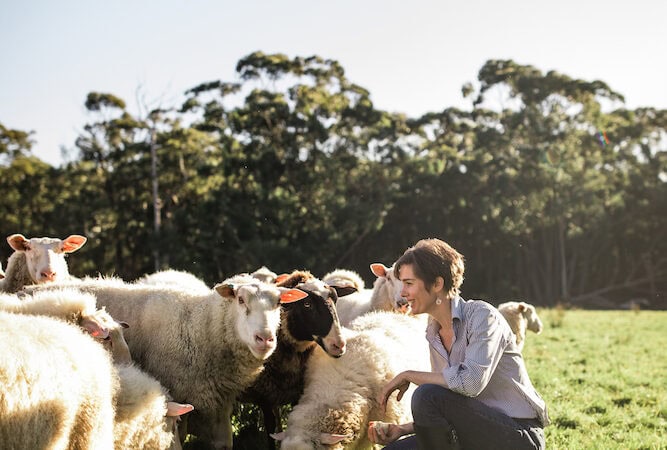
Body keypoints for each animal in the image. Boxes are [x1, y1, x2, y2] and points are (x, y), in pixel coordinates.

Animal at [23, 274, 310, 450]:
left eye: (279, 303)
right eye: (240, 300)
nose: (265, 339)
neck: (200, 327)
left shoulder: (220, 402)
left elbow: (224, 443)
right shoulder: (177, 399)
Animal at [239, 268, 350, 442]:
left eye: (336, 300)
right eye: (307, 304)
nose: (339, 345)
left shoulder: (297, 394)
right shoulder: (264, 397)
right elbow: (270, 430)